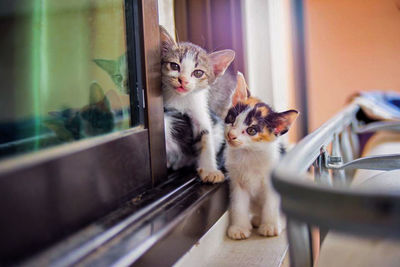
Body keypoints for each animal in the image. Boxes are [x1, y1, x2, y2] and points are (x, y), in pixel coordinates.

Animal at [159, 25, 234, 184]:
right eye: (174, 66)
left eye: (198, 73)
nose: (183, 80)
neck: (180, 99)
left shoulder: (199, 110)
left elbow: (205, 136)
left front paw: (210, 170)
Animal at [223, 73, 298, 241]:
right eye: (231, 119)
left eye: (251, 130)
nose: (231, 135)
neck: (249, 153)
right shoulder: (237, 181)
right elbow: (238, 204)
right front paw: (239, 228)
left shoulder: (273, 183)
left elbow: (271, 204)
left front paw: (270, 226)